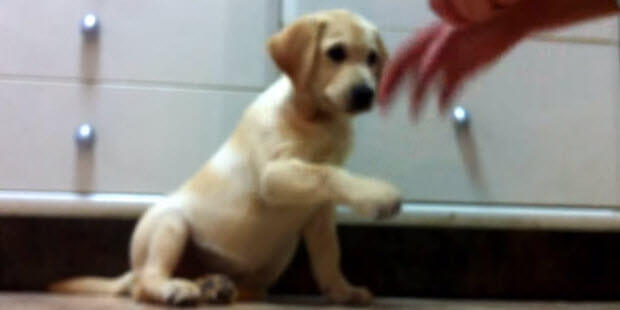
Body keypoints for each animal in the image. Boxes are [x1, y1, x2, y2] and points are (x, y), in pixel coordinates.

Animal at [49, 8, 402, 306]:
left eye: (372, 58)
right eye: (336, 53)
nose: (366, 94)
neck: (316, 119)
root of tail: (132, 268)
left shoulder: (319, 214)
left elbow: (329, 256)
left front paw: (343, 291)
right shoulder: (273, 176)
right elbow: (323, 172)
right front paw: (378, 194)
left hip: (264, 264)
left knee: (243, 288)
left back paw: (214, 287)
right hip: (171, 224)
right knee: (145, 283)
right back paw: (175, 288)